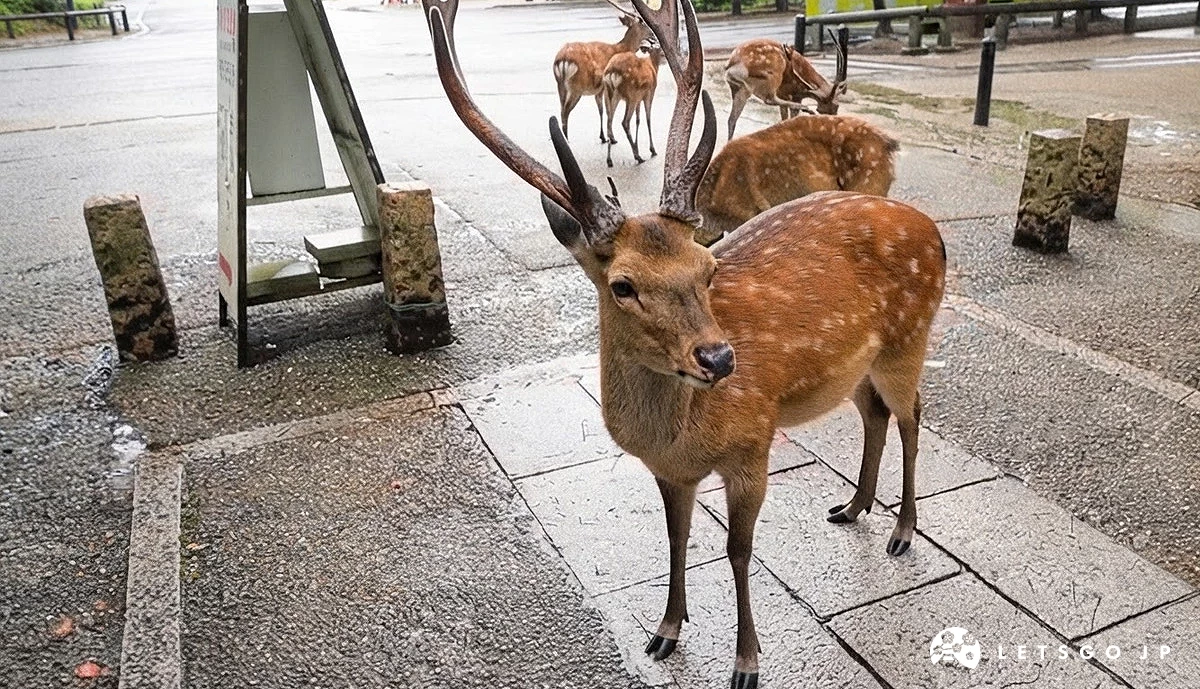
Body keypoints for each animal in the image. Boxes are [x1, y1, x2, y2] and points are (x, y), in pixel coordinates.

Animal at [553, 0, 653, 144]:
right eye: (642, 22)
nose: (653, 35)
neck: (621, 48)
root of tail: (562, 59)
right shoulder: (606, 87)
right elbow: (608, 110)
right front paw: (612, 138)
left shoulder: (599, 90)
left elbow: (600, 110)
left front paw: (603, 137)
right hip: (576, 87)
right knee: (566, 111)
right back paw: (567, 140)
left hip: (560, 85)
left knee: (561, 109)